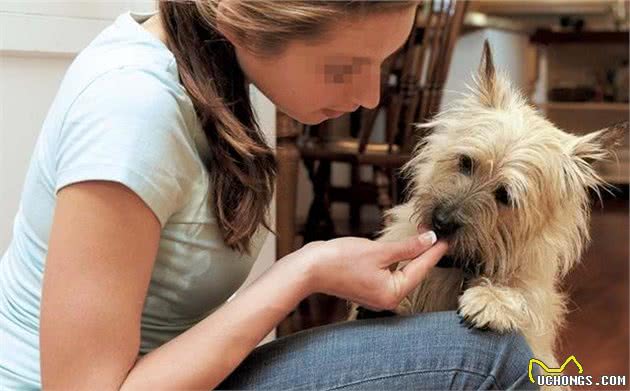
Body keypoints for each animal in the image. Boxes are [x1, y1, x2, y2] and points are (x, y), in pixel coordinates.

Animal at [348, 39, 628, 388]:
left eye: (505, 196)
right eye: (466, 162)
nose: (441, 222)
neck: (457, 265)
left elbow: (523, 299)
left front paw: (493, 299)